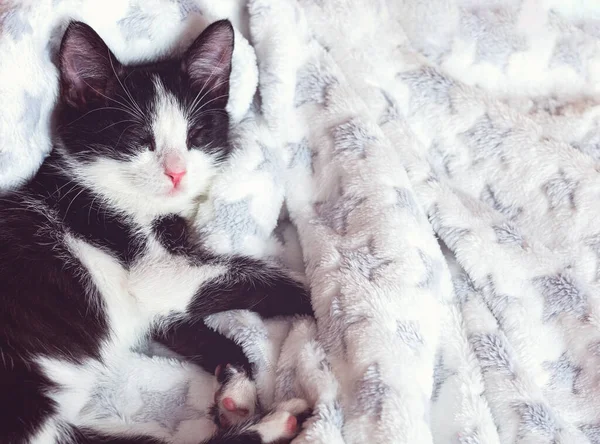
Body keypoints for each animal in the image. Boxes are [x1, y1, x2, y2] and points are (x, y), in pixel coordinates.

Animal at [1, 19, 314, 442]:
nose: (176, 172)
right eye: (138, 138)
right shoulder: (145, 265)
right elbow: (245, 276)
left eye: (196, 135)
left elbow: (178, 321)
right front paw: (321, 298)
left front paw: (235, 387)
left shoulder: (156, 301)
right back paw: (276, 423)